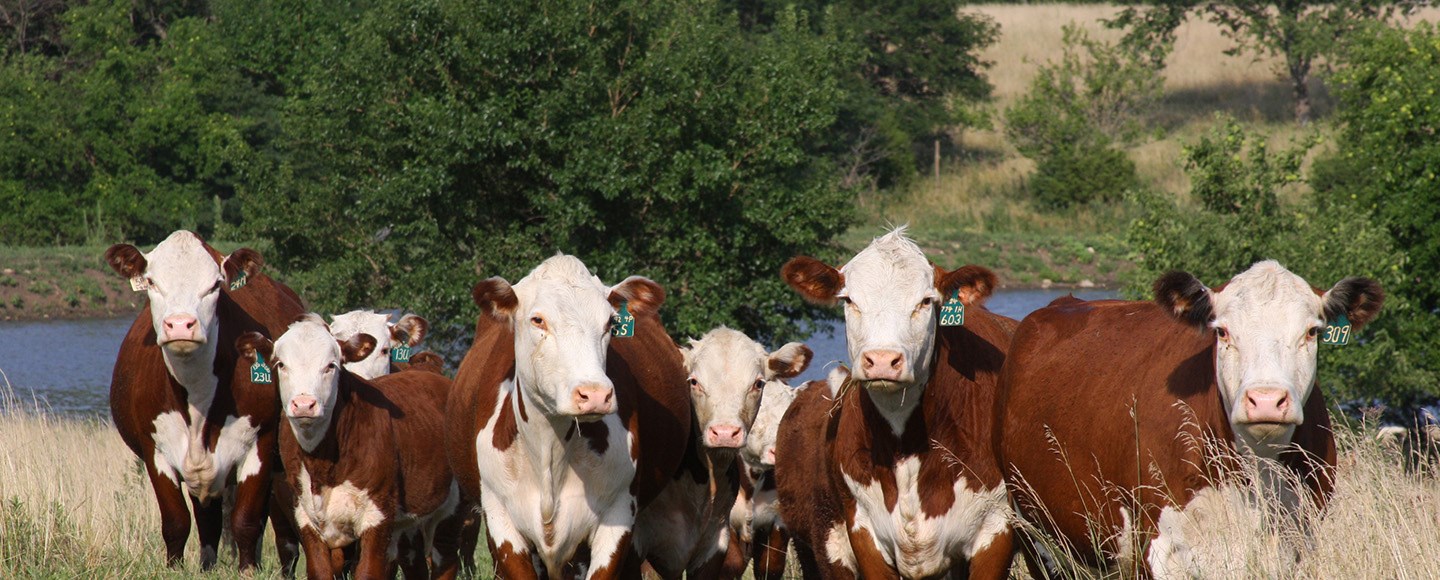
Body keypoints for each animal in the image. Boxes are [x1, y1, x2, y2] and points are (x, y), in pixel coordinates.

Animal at [105, 230, 305, 572]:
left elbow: (246, 521)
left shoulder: (261, 443)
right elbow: (176, 521)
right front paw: (173, 569)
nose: (180, 324)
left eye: (215, 285)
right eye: (152, 281)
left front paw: (247, 570)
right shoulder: (154, 448)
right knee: (207, 522)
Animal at [237, 318, 460, 580]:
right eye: (281, 364)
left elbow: (367, 572)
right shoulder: (305, 516)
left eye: (331, 365)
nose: (304, 404)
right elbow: (320, 570)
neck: (323, 464)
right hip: (409, 524)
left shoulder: (377, 516)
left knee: (445, 559)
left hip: (451, 510)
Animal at [446, 256, 694, 580]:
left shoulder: (618, 516)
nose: (595, 393)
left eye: (611, 323)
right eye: (538, 320)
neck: (550, 450)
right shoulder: (501, 521)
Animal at [777, 230, 1025, 580]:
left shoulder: (996, 530)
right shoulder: (863, 531)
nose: (882, 360)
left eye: (926, 301)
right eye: (848, 300)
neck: (904, 445)